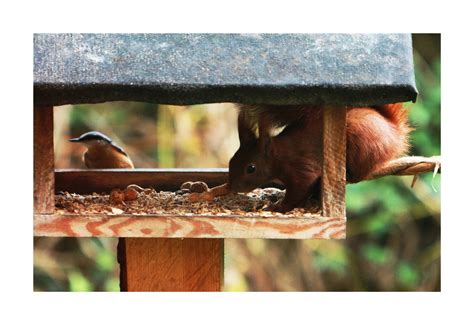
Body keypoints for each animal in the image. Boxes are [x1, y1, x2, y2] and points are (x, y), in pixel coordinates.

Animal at [229, 102, 412, 211]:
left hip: (362, 144)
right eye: (231, 162)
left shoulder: (302, 168)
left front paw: (277, 207)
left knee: (361, 172)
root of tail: (394, 132)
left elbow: (299, 191)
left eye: (251, 168)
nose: (231, 188)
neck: (280, 155)